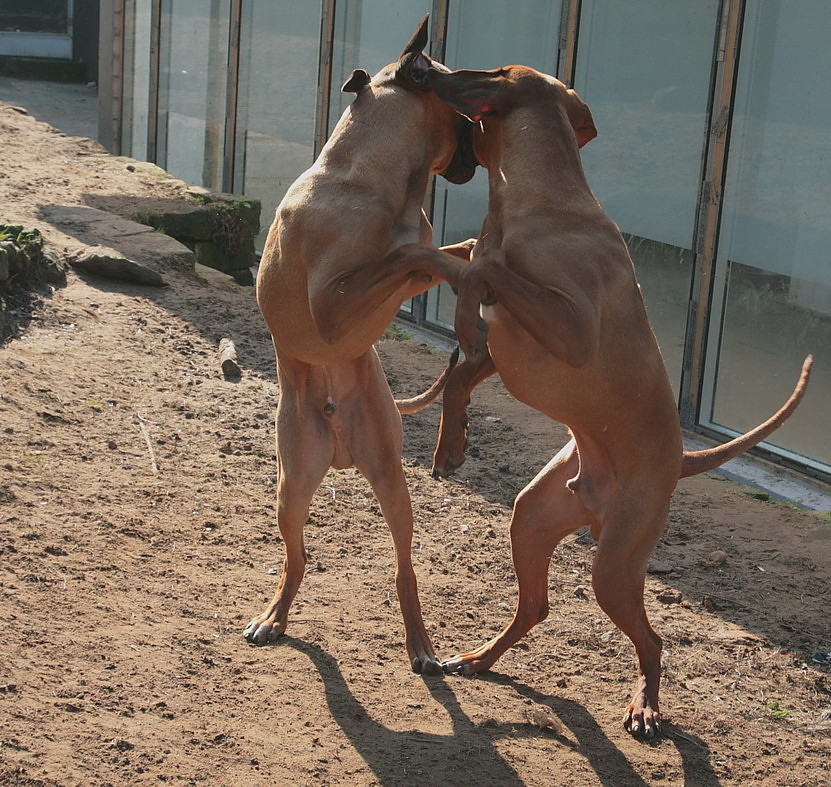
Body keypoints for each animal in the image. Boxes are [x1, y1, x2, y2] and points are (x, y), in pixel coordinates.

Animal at [244, 16, 478, 676]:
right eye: (467, 111)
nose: (483, 143)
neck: (377, 182)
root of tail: (341, 447)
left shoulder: (406, 263)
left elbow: (435, 252)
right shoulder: (333, 305)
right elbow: (413, 256)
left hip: (392, 484)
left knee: (404, 570)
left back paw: (421, 645)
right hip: (291, 487)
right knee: (296, 558)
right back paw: (273, 617)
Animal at [394, 64, 816, 736]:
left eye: (484, 71)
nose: (423, 67)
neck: (535, 204)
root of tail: (681, 460)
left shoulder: (569, 328)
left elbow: (484, 271)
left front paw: (460, 311)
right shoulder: (508, 343)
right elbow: (460, 339)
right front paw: (448, 445)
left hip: (616, 564)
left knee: (653, 640)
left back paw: (645, 705)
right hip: (532, 518)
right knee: (536, 607)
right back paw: (481, 658)